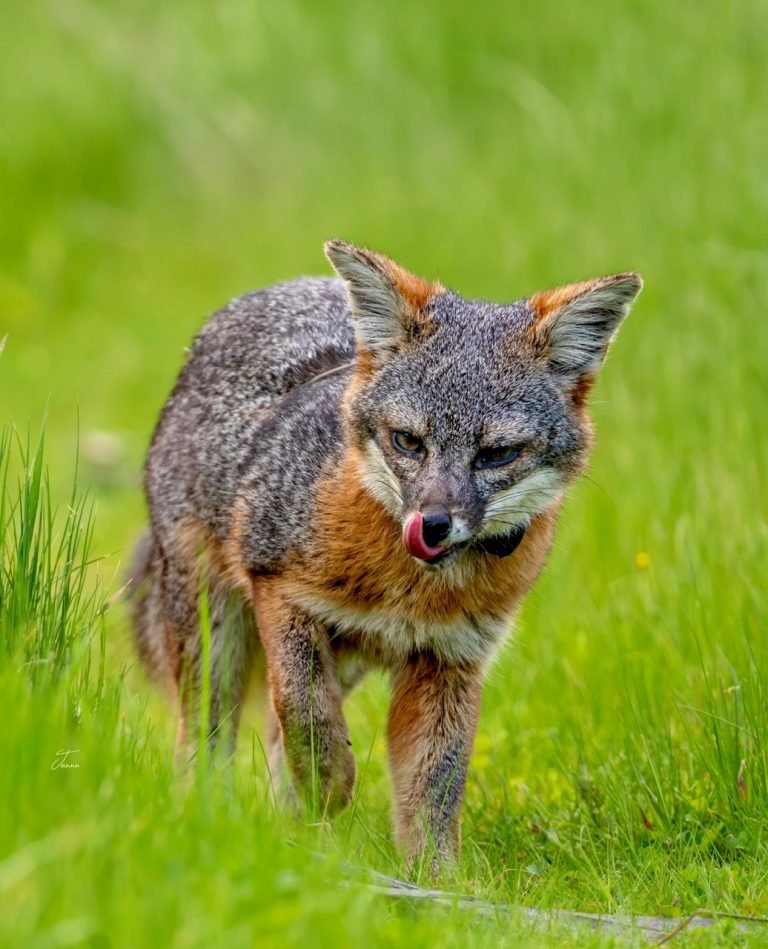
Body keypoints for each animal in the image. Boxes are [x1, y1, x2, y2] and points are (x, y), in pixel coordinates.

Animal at [129, 239, 642, 863]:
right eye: (408, 442)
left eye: (497, 455)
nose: (434, 525)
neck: (411, 591)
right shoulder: (281, 593)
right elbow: (307, 717)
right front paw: (329, 785)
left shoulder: (450, 659)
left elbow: (433, 789)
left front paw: (434, 879)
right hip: (215, 634)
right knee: (208, 732)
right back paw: (212, 820)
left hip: (341, 657)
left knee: (274, 731)